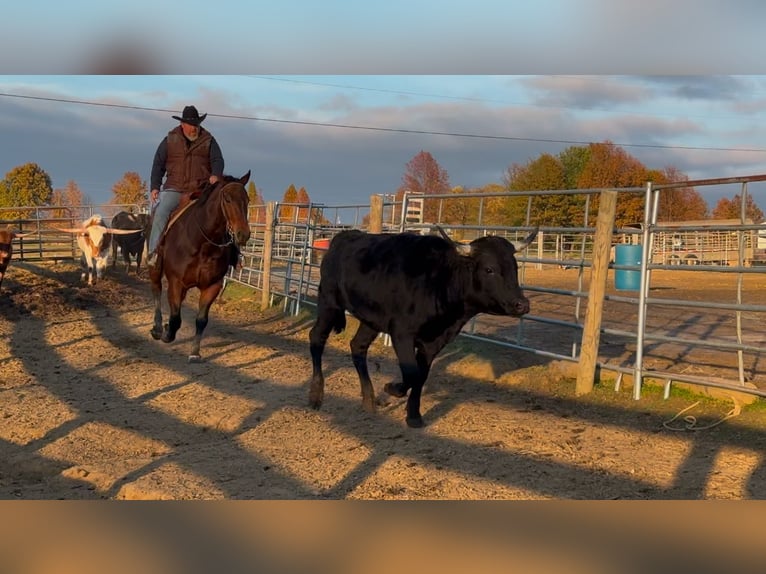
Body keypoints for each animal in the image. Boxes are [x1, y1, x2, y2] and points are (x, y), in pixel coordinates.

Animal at [152, 171, 254, 362]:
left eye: (247, 199)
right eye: (227, 198)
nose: (243, 234)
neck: (202, 243)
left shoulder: (212, 286)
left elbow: (201, 320)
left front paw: (194, 352)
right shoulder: (176, 282)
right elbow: (175, 318)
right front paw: (167, 333)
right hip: (154, 268)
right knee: (156, 290)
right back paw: (157, 328)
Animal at [308, 227, 536, 430]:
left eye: (515, 268)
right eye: (489, 269)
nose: (522, 304)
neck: (440, 281)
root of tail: (344, 236)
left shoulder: (434, 342)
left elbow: (421, 376)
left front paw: (413, 415)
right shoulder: (402, 334)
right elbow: (411, 374)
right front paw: (392, 388)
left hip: (371, 319)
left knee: (358, 346)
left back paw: (369, 400)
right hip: (329, 303)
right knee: (316, 337)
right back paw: (316, 395)